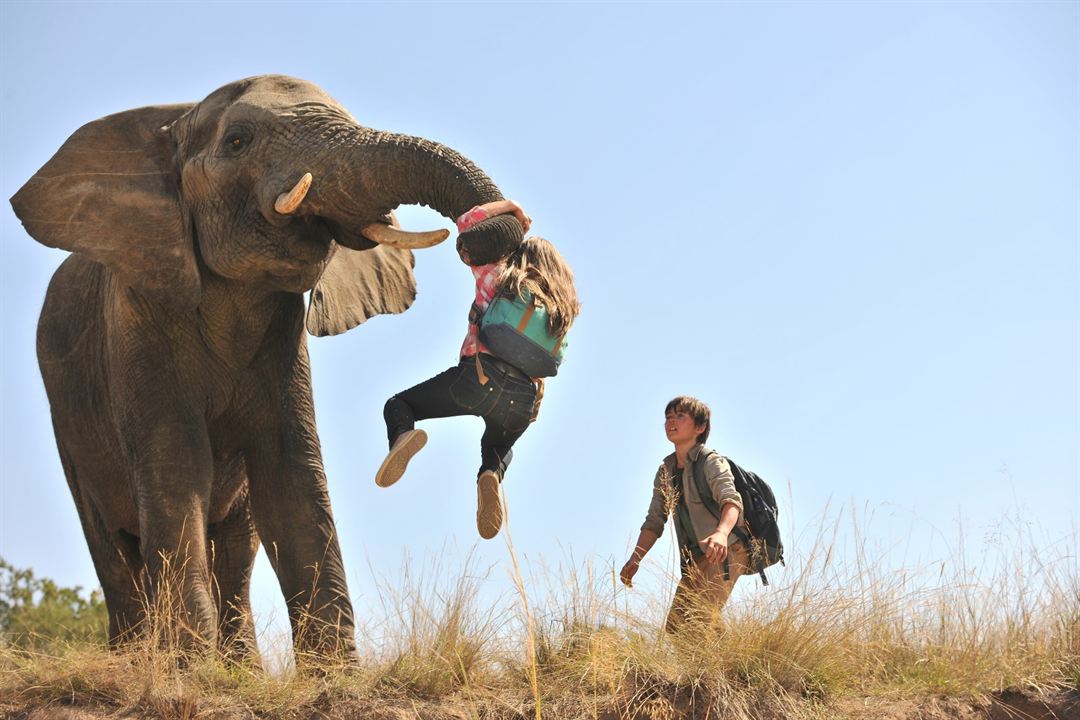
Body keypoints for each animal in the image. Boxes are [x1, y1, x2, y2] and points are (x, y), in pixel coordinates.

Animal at [8, 74, 522, 664]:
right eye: (237, 142)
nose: (480, 237)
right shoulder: (137, 320)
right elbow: (177, 470)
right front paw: (189, 671)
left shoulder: (283, 339)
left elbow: (290, 476)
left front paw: (332, 673)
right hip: (68, 424)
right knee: (113, 550)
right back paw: (139, 658)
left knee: (235, 549)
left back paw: (238, 667)